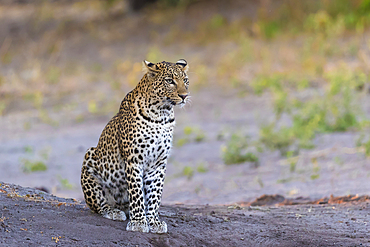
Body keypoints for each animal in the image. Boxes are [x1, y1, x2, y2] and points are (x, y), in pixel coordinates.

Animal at [81, 58, 191, 233]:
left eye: (185, 80)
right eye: (170, 81)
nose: (184, 96)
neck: (162, 114)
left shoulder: (158, 163)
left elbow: (154, 195)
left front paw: (153, 221)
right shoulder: (134, 160)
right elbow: (137, 192)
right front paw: (139, 222)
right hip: (90, 157)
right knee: (99, 205)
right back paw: (114, 212)